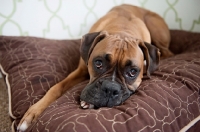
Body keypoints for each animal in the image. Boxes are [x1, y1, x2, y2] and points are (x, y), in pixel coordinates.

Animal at [18, 3, 173, 131]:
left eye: (132, 72)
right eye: (98, 63)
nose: (110, 89)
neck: (122, 30)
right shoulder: (80, 71)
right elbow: (56, 88)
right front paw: (33, 113)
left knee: (167, 53)